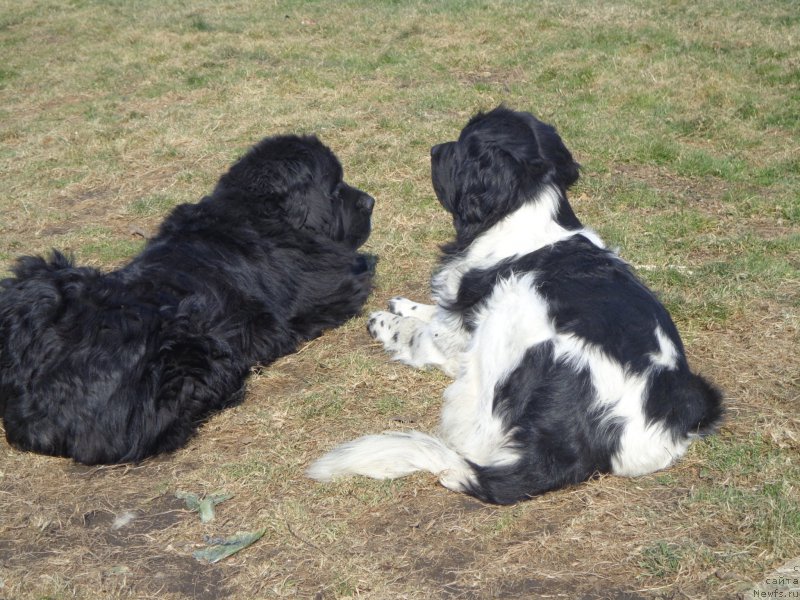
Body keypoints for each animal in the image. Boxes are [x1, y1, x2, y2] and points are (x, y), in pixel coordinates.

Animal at [0, 135, 376, 464]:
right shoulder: (329, 285)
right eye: (336, 188)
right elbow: (359, 275)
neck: (261, 212)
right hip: (191, 342)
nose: (371, 201)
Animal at [308, 105, 724, 504]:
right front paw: (405, 305)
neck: (528, 216)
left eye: (462, 143)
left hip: (505, 321)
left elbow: (422, 334)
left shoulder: (456, 338)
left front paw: (385, 321)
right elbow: (435, 308)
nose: (434, 149)